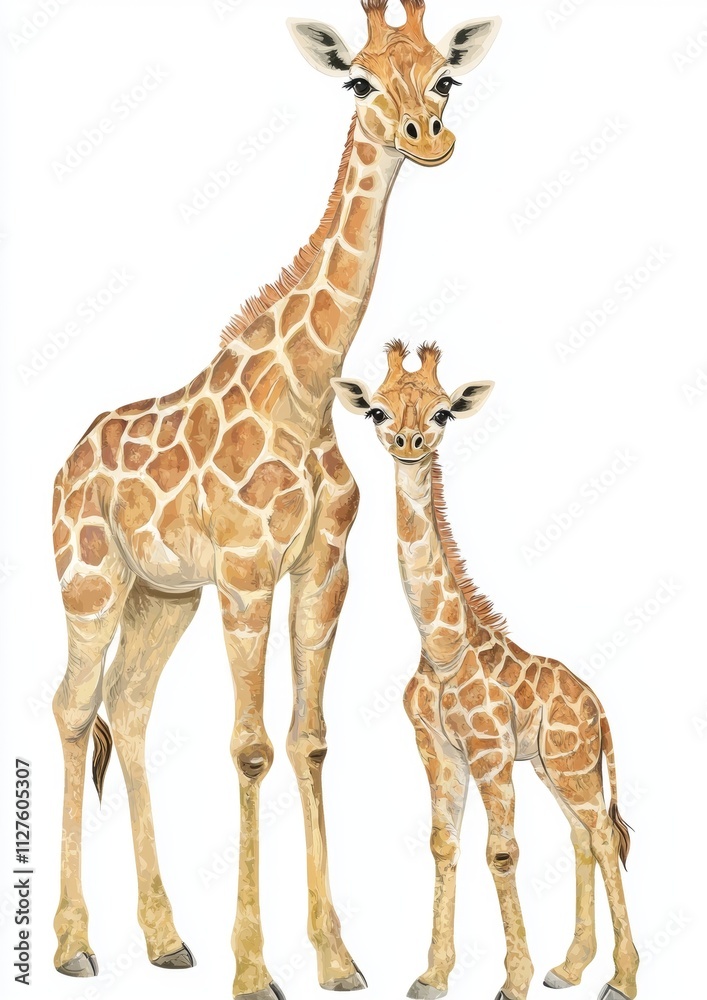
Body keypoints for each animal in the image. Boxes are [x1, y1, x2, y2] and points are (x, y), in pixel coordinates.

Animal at [50, 5, 501, 999]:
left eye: (444, 77)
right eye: (359, 81)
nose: (427, 137)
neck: (305, 387)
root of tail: (63, 464)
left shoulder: (321, 570)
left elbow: (308, 739)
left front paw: (335, 957)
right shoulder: (249, 574)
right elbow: (250, 745)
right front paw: (256, 969)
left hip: (164, 595)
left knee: (126, 709)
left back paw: (165, 939)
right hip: (90, 583)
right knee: (70, 707)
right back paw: (72, 944)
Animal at [332, 341, 639, 1000]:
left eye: (444, 413)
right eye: (376, 410)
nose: (410, 441)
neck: (442, 646)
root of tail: (599, 705)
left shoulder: (491, 751)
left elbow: (501, 852)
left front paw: (511, 980)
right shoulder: (437, 748)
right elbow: (442, 844)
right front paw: (432, 975)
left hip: (572, 764)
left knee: (603, 834)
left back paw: (622, 978)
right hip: (553, 765)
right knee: (583, 836)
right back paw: (569, 968)